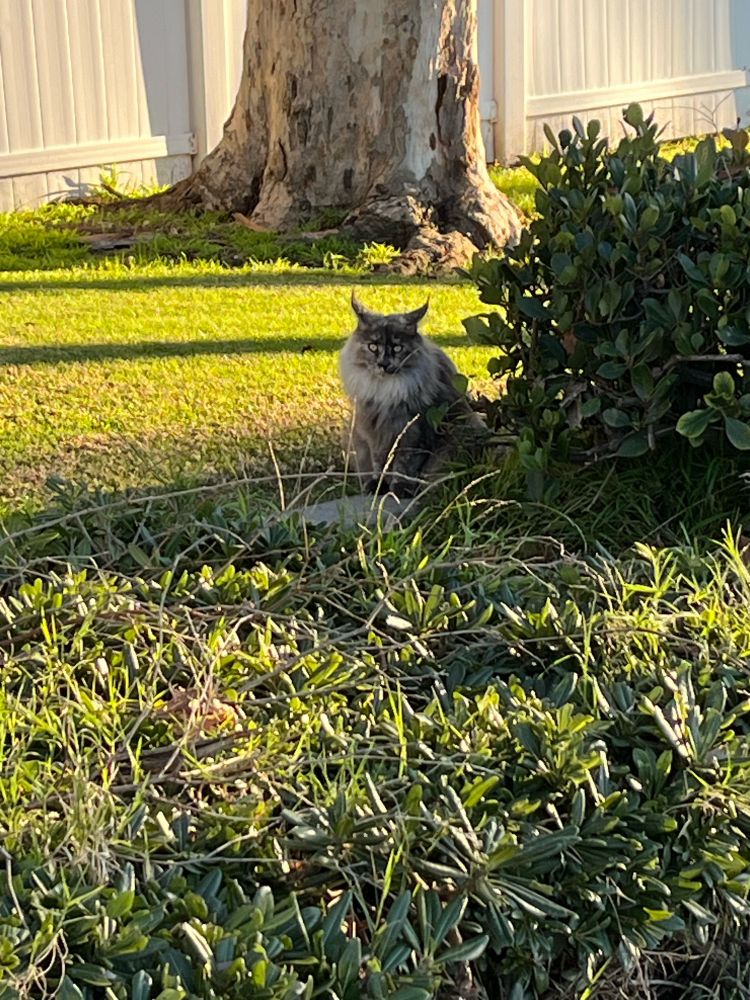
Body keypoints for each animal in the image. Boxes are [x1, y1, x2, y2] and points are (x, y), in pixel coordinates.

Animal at [340, 292, 482, 496]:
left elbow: (404, 464)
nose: (383, 364)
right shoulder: (374, 432)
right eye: (373, 347)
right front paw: (378, 486)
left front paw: (400, 488)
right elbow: (380, 463)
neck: (385, 390)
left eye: (397, 348)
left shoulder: (414, 432)